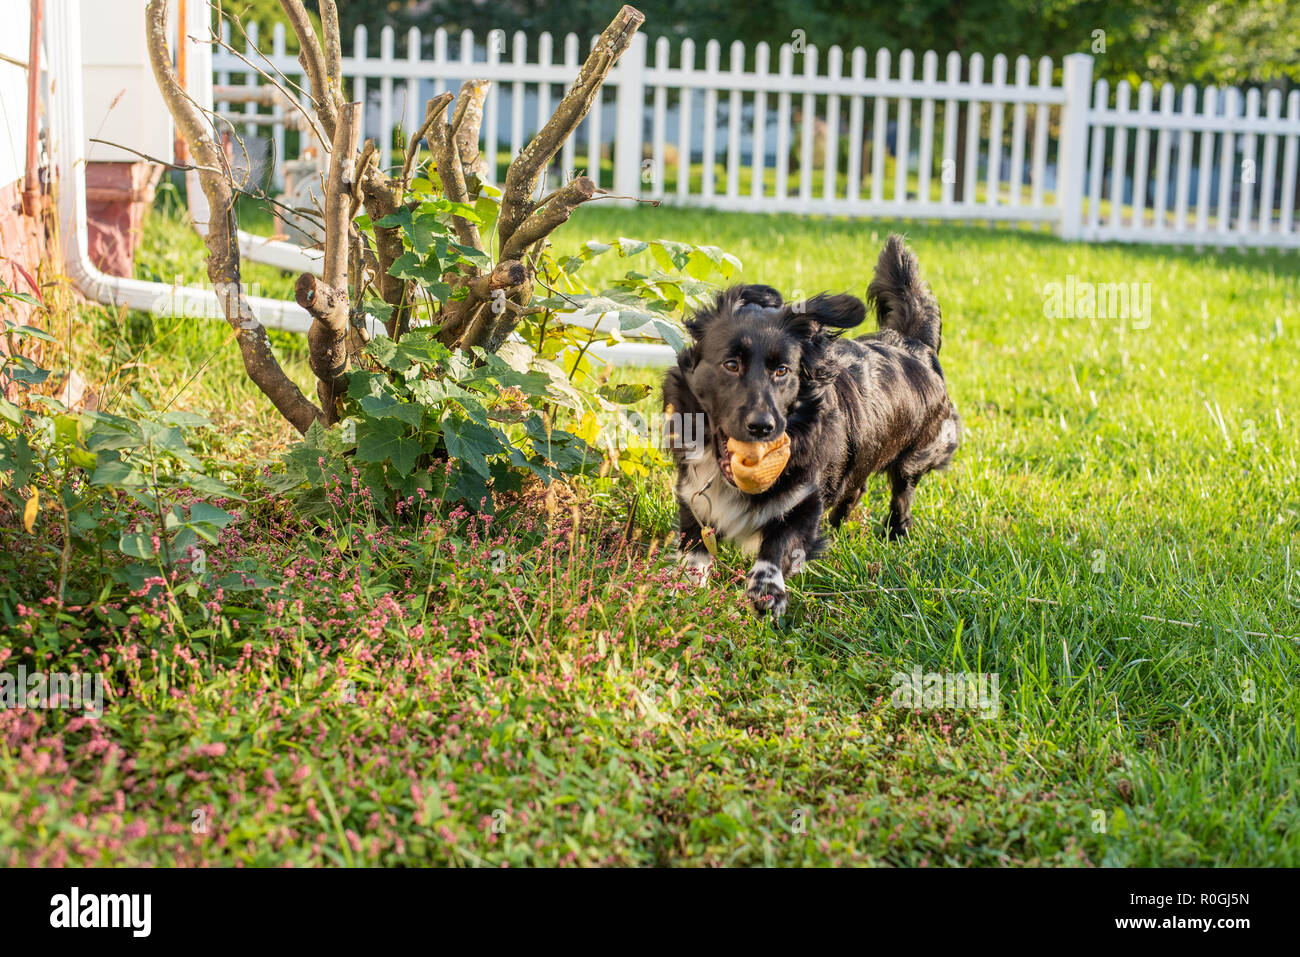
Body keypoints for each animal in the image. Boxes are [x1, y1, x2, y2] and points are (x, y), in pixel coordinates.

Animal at [665, 235, 961, 616]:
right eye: (731, 364)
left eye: (783, 370)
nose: (762, 427)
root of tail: (914, 344)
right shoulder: (693, 499)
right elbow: (692, 553)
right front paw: (681, 595)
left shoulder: (804, 501)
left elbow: (780, 545)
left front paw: (766, 591)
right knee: (856, 489)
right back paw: (837, 527)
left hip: (914, 456)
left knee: (902, 493)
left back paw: (896, 534)